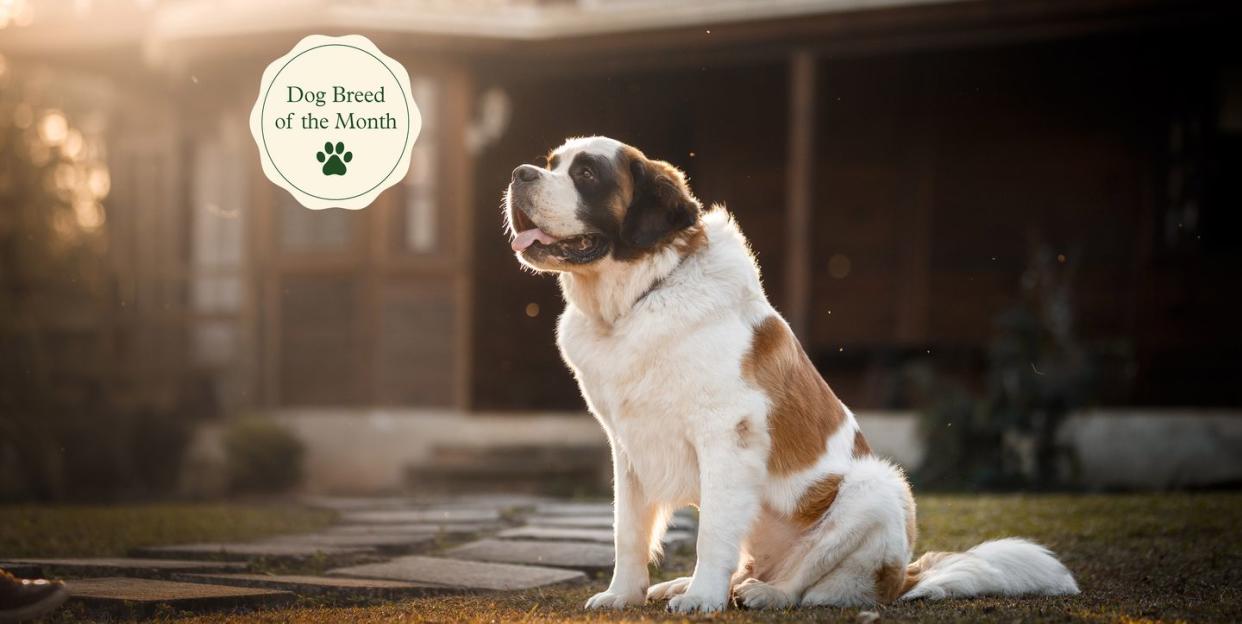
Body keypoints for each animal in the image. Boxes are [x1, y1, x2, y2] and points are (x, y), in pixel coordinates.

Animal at [501, 135, 1078, 609]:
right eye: (551, 164)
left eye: (587, 174)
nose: (519, 173)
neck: (638, 300)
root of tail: (904, 575)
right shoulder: (627, 446)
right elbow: (627, 528)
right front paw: (624, 594)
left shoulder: (727, 435)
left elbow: (711, 533)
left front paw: (702, 599)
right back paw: (692, 584)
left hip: (877, 487)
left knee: (816, 585)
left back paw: (763, 593)